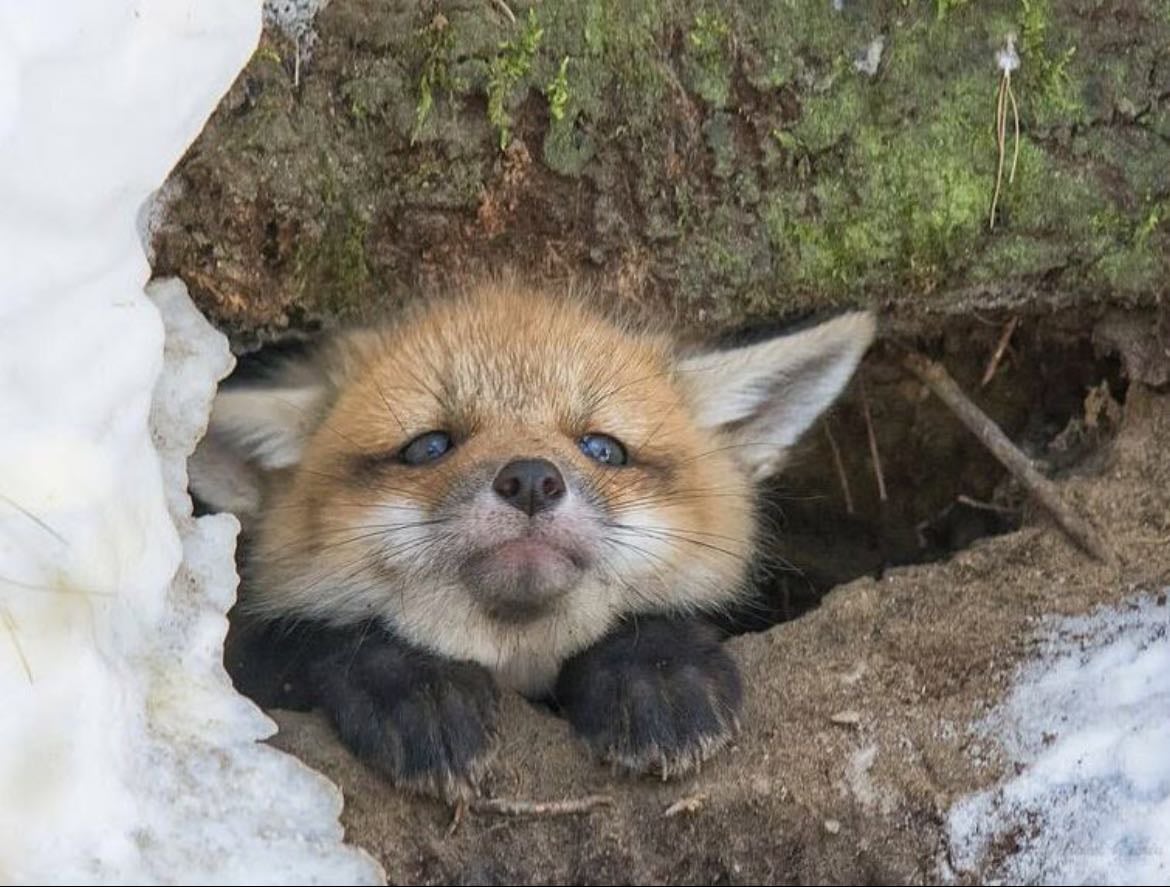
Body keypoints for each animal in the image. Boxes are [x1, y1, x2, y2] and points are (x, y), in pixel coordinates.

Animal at [190, 278, 876, 801]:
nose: (529, 480)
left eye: (603, 448)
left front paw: (655, 671)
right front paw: (415, 687)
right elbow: (329, 642)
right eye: (429, 446)